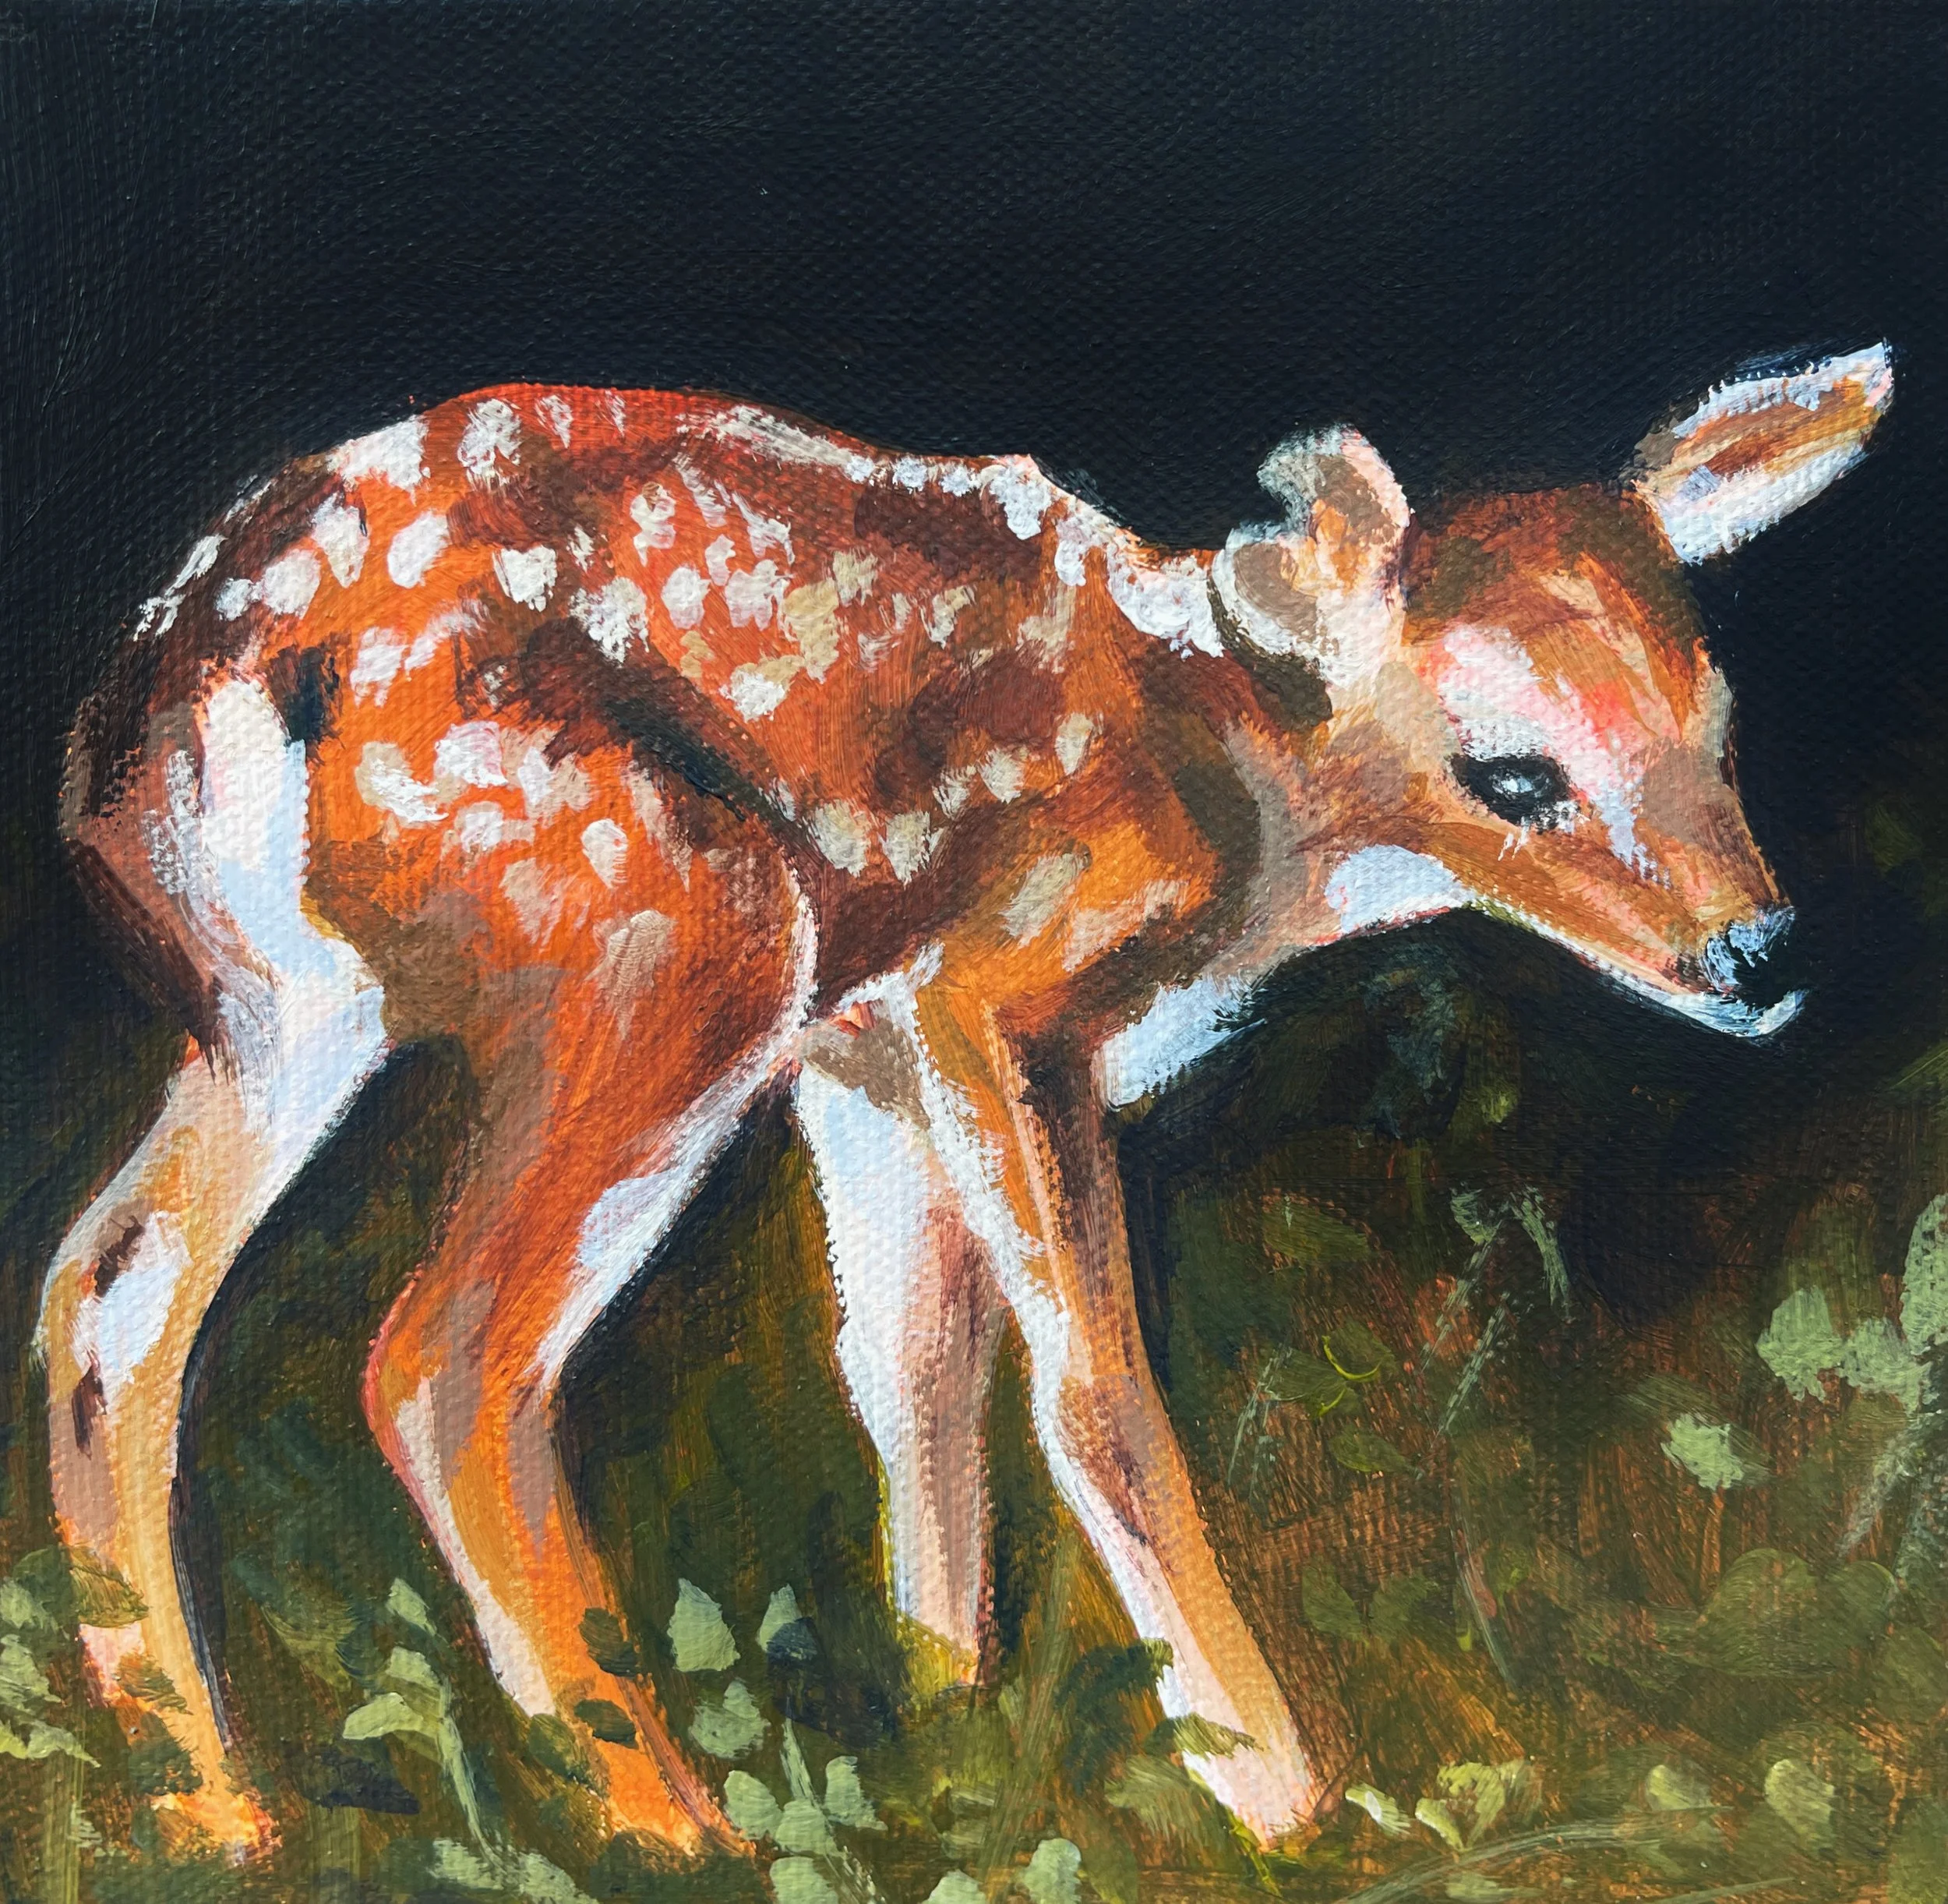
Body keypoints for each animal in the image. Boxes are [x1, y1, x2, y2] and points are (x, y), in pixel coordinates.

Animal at [38, 344, 1891, 1858]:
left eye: (1718, 721)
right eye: (1512, 775)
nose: (1757, 951)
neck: (1240, 818)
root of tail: (197, 680)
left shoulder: (863, 1051)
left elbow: (909, 1363)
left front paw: (955, 1723)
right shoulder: (993, 991)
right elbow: (1094, 1394)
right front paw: (1280, 1802)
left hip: (286, 1009)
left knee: (106, 1294)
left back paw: (210, 1809)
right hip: (673, 931)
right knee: (444, 1358)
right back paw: (678, 1829)